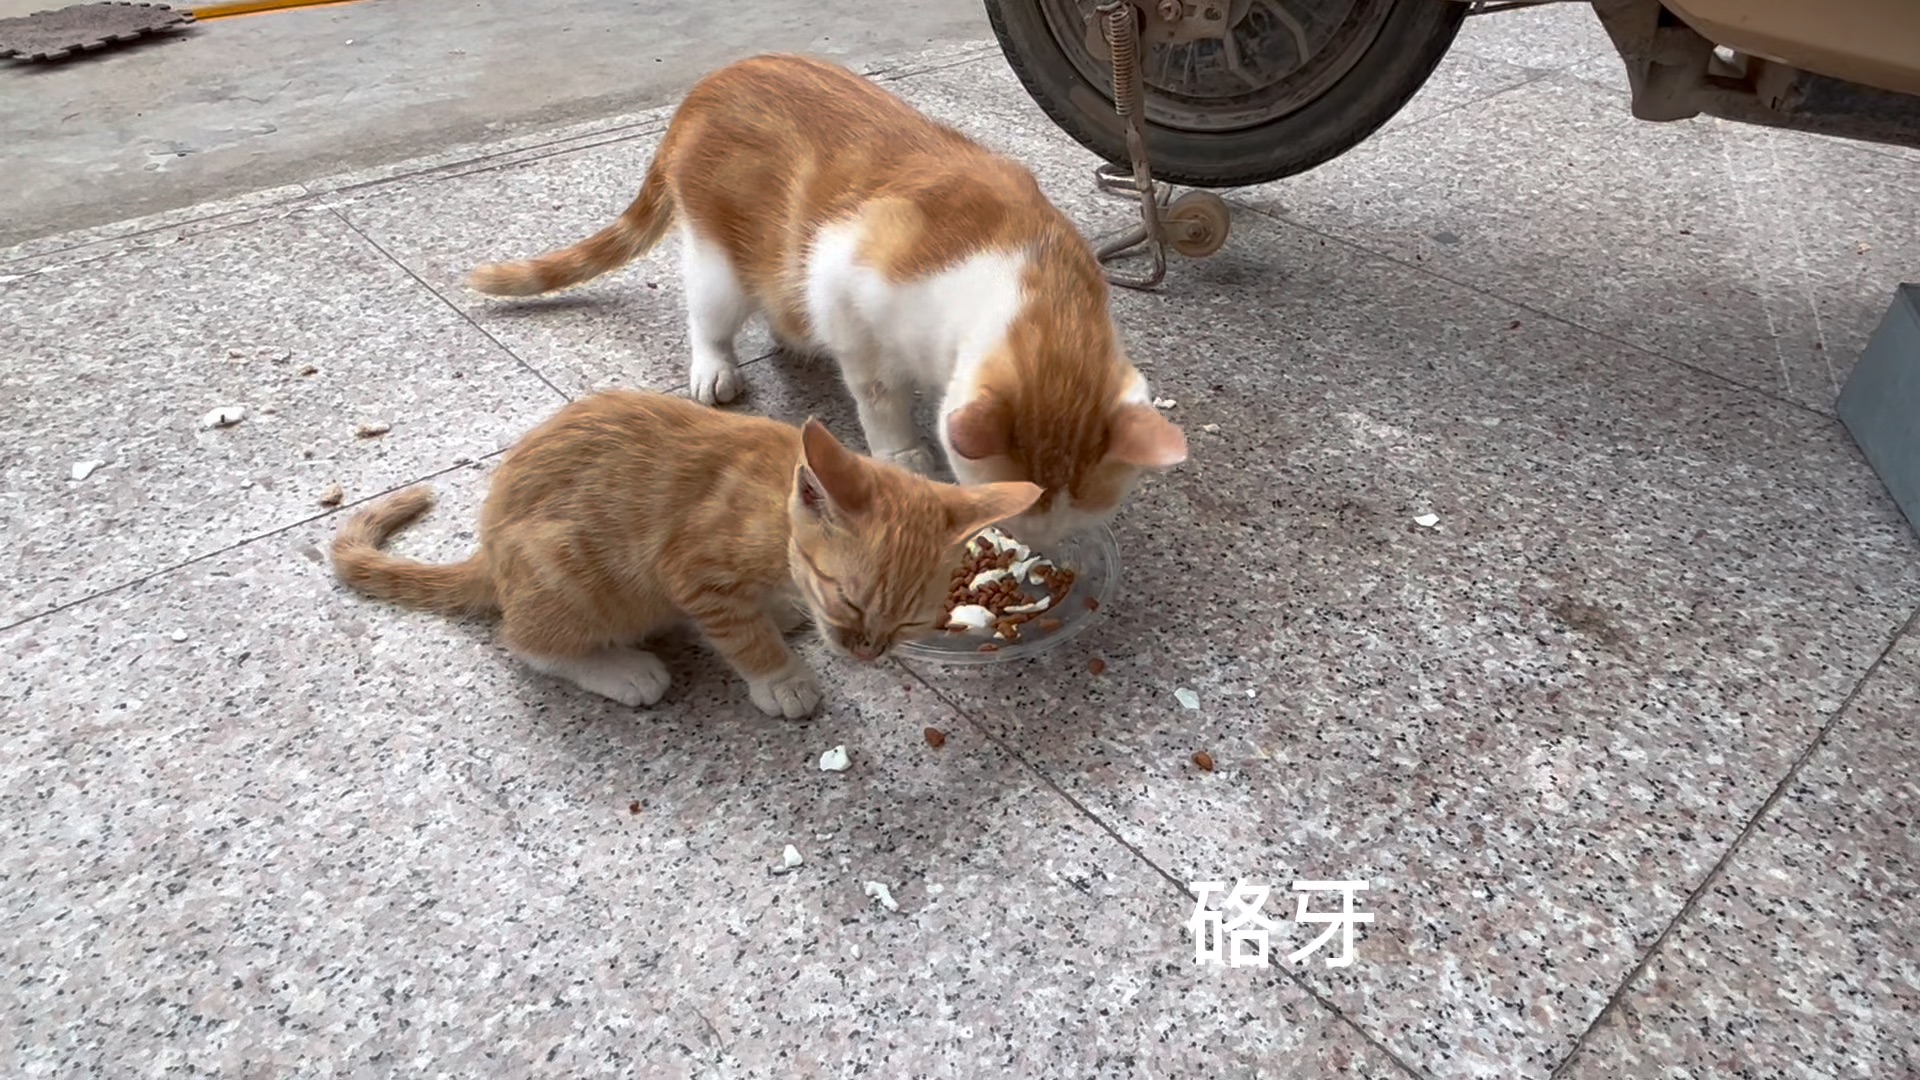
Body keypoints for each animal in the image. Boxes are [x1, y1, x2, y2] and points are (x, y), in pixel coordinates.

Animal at [337, 388, 1044, 714]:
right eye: (848, 599)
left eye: (907, 622)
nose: (866, 654)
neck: (774, 511)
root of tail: (488, 550)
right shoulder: (693, 570)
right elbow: (741, 634)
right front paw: (781, 677)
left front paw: (782, 614)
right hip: (565, 570)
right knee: (525, 643)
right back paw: (618, 668)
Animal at [464, 52, 1182, 545]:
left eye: (1067, 524)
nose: (1030, 546)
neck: (1030, 280)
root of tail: (710, 82)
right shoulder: (843, 281)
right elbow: (877, 389)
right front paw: (899, 450)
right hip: (721, 262)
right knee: (710, 314)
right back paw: (715, 364)